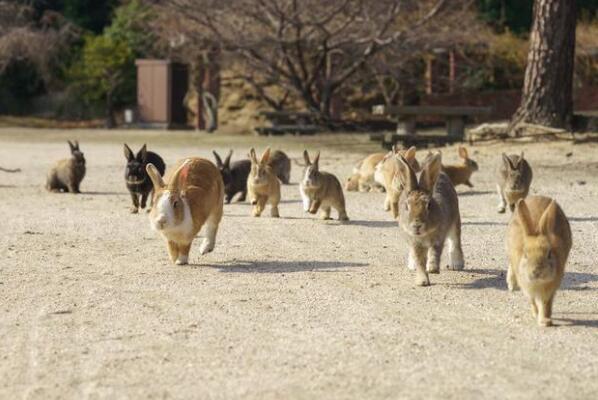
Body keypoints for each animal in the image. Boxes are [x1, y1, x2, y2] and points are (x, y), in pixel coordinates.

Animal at [398, 152, 464, 286]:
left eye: (429, 205)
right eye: (407, 206)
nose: (417, 225)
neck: (424, 234)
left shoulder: (438, 238)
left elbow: (435, 252)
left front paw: (433, 269)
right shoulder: (415, 242)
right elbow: (420, 261)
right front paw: (422, 281)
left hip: (455, 220)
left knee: (455, 240)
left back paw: (457, 264)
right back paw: (412, 265)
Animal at [508, 195, 576, 326]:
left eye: (549, 254)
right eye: (525, 254)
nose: (537, 271)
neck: (538, 283)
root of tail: (538, 196)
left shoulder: (549, 291)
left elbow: (545, 304)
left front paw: (546, 320)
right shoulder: (527, 288)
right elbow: (532, 301)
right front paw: (537, 315)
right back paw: (511, 284)